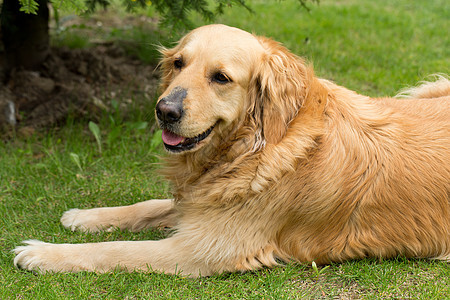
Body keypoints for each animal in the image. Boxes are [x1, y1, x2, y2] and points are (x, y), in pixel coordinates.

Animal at [12, 24, 448, 276]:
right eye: (178, 63)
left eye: (220, 77)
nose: (164, 111)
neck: (255, 146)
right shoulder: (204, 203)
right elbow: (150, 205)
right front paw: (87, 216)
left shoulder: (204, 249)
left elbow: (114, 252)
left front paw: (44, 254)